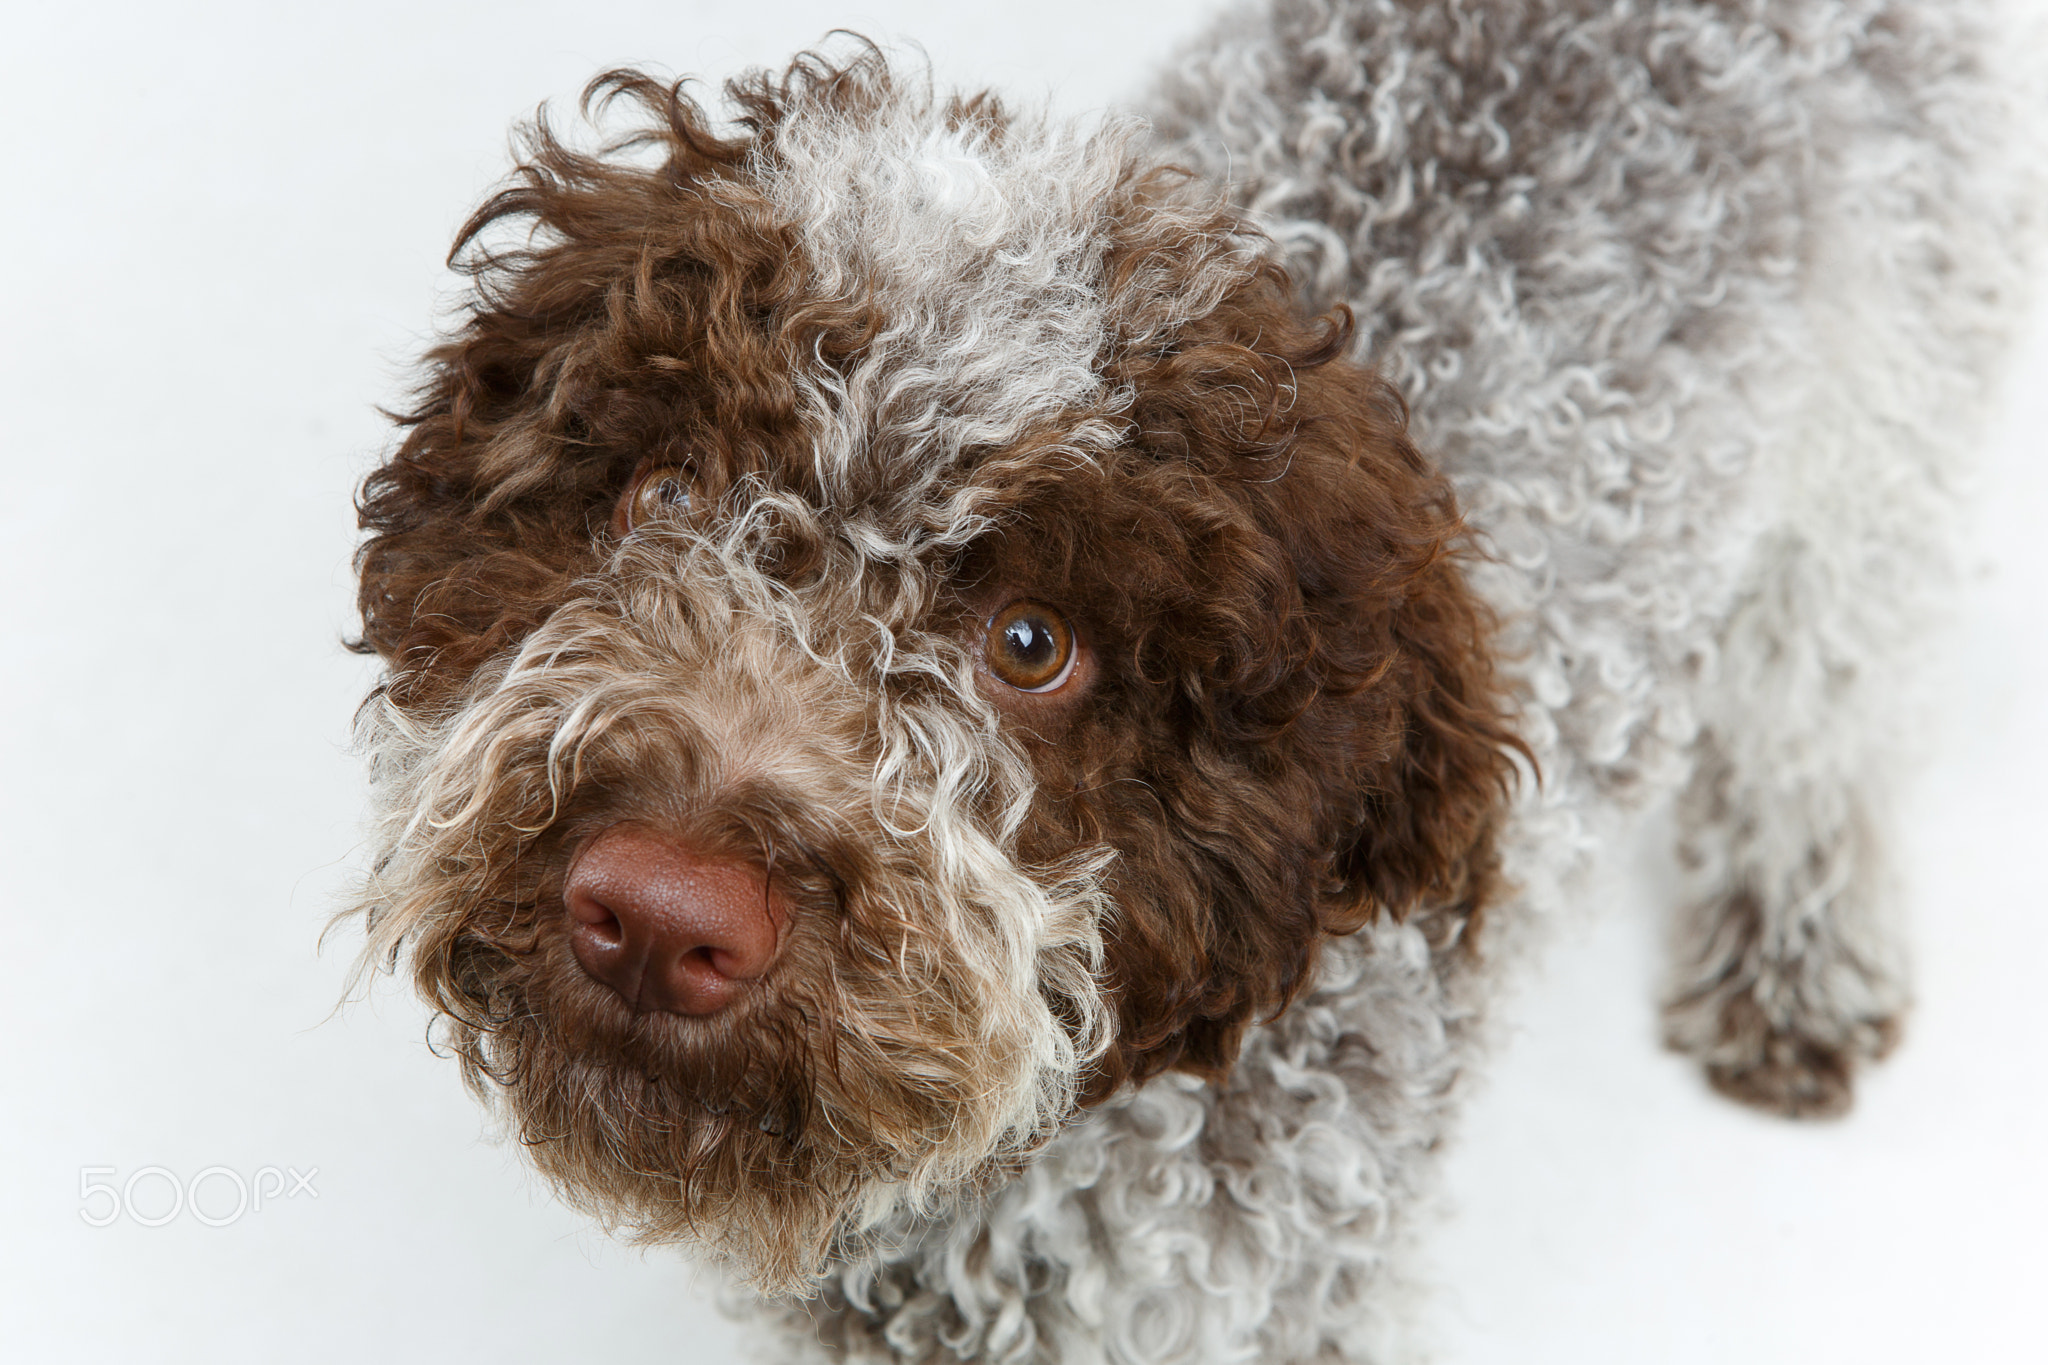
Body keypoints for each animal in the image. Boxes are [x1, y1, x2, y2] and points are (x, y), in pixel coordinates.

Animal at [348, 5, 2031, 1358]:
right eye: (659, 495)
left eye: (1035, 646)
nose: (657, 911)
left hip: (1880, 442)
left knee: (1817, 712)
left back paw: (1798, 956)